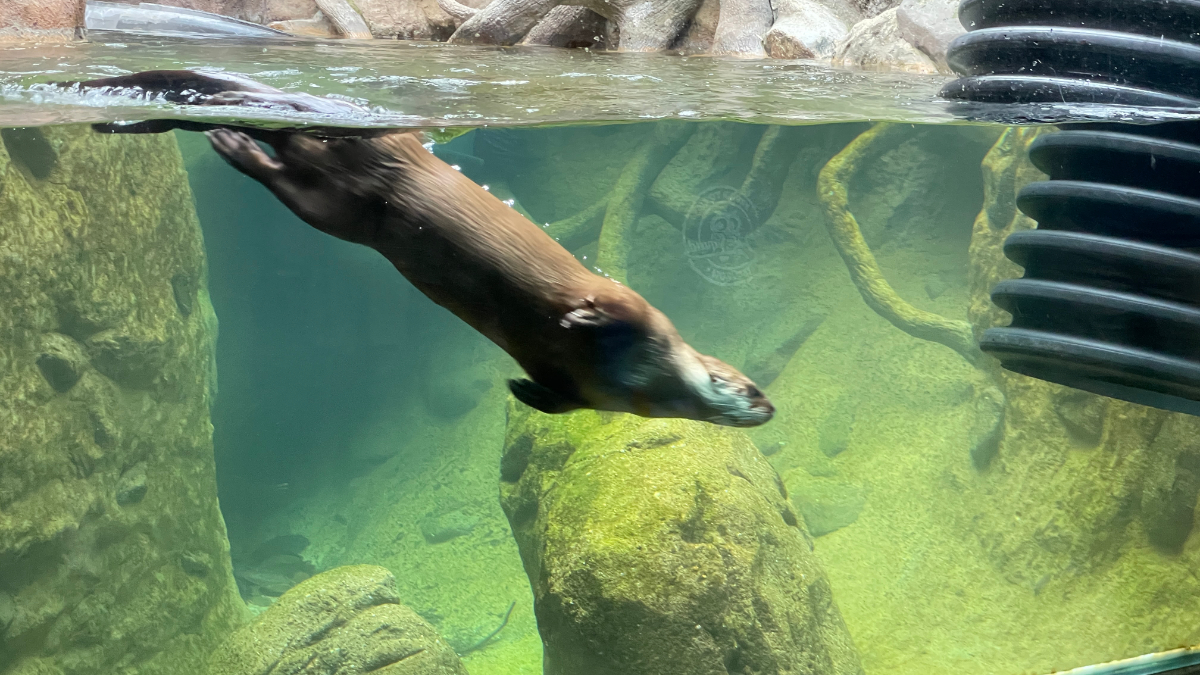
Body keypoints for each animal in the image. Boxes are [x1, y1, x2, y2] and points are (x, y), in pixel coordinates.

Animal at [75, 70, 774, 427]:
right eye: (751, 385)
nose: (769, 408)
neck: (644, 378)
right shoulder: (639, 312)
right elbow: (610, 306)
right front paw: (578, 317)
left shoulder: (591, 394)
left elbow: (561, 398)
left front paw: (523, 390)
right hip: (357, 172)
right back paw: (232, 133)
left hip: (341, 209)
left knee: (288, 181)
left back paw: (232, 143)